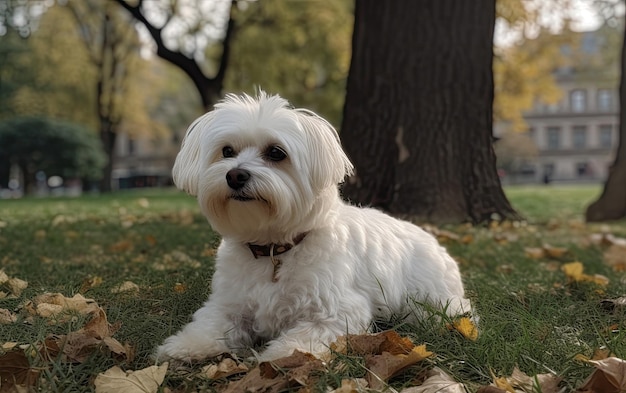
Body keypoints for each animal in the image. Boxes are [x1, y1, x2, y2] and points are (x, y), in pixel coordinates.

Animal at [155, 91, 468, 362]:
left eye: (276, 152)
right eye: (227, 151)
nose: (235, 175)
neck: (274, 249)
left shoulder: (336, 313)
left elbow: (303, 337)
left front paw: (279, 356)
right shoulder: (229, 303)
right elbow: (211, 323)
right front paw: (186, 345)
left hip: (431, 300)